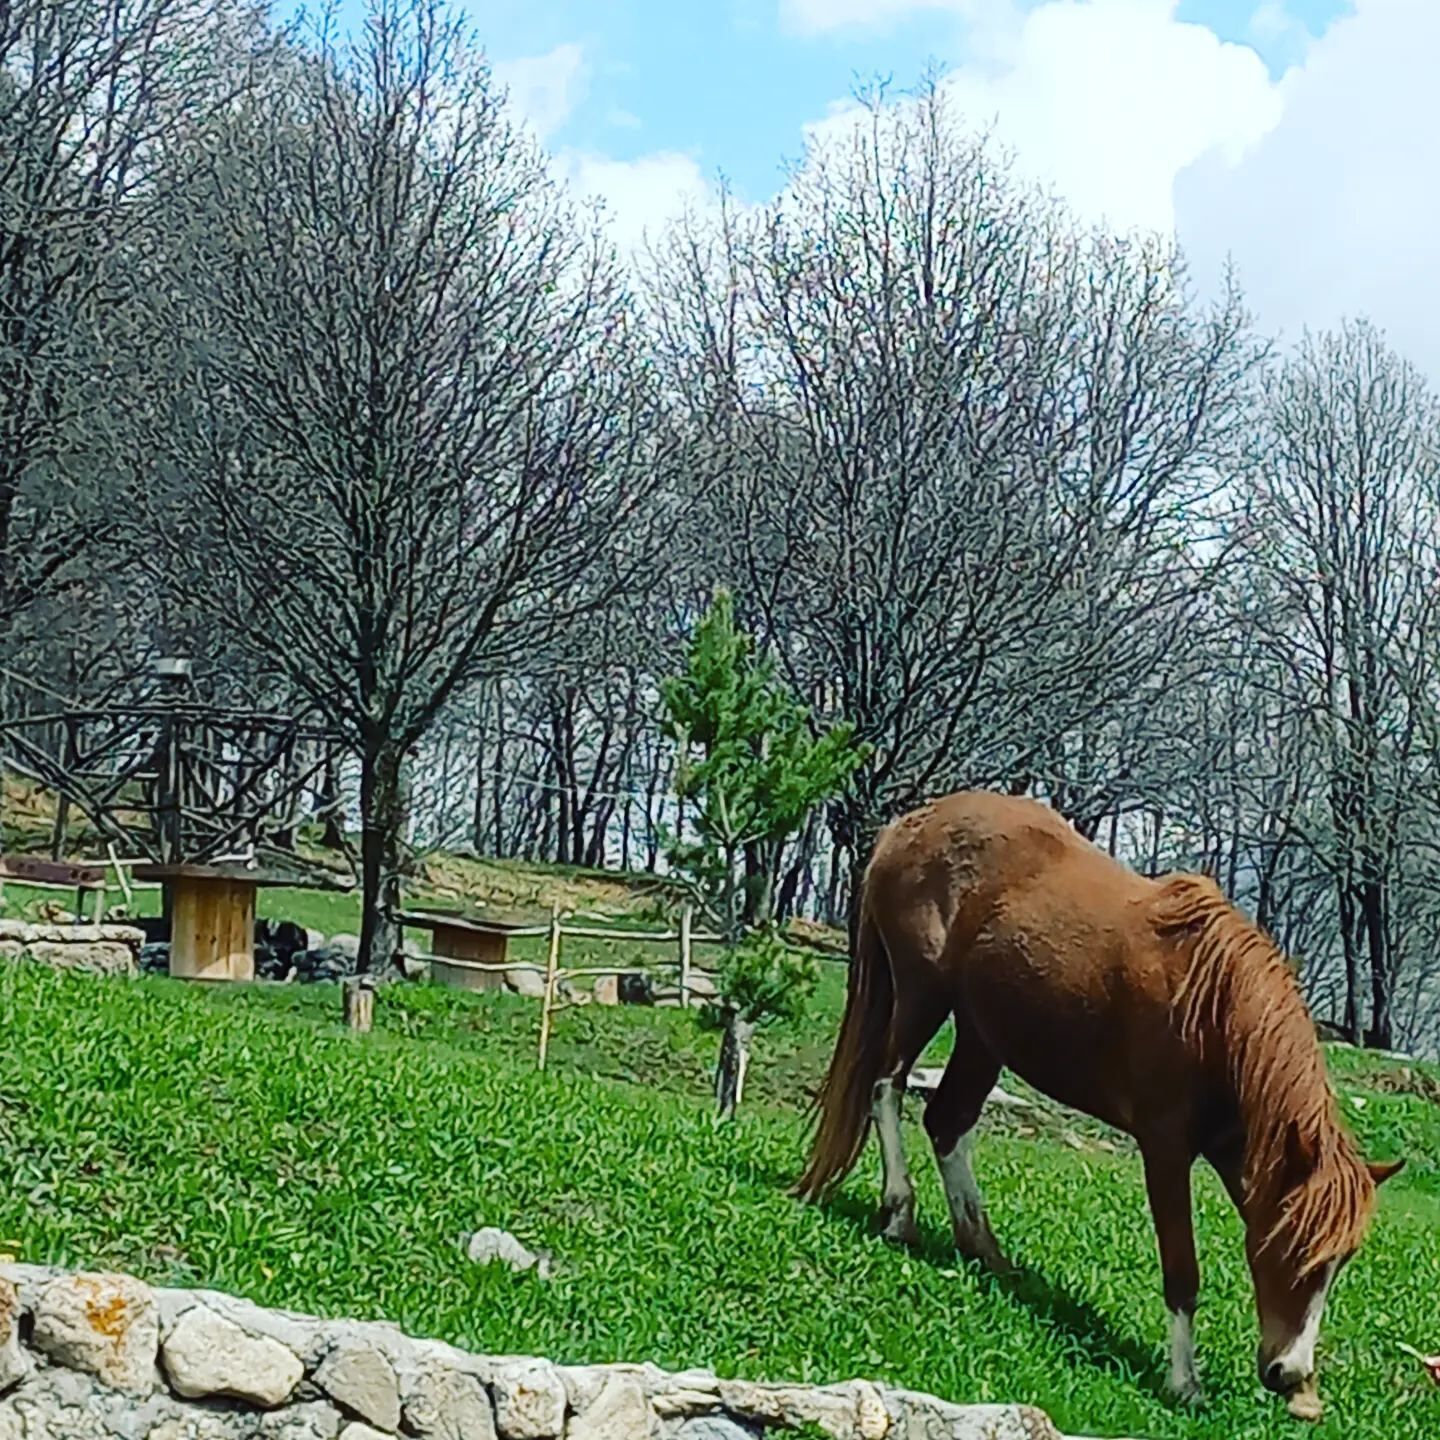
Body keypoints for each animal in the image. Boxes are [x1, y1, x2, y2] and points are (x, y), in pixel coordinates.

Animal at [794, 790, 1403, 1420]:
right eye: (1289, 1248)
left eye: (1340, 1262)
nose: (1289, 1373)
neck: (1210, 1014)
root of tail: (910, 824)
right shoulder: (1165, 1148)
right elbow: (1182, 1269)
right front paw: (1183, 1382)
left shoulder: (1235, 1152)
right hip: (922, 997)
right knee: (886, 1088)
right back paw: (900, 1213)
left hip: (984, 1037)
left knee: (947, 1122)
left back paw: (983, 1248)